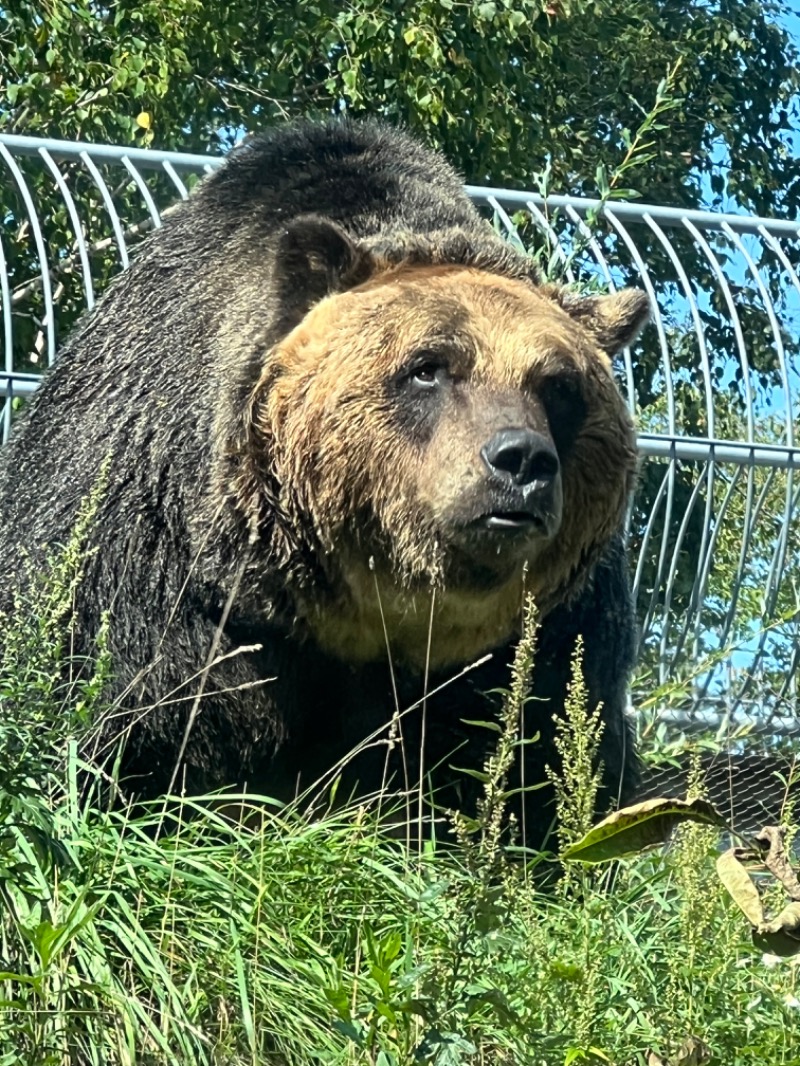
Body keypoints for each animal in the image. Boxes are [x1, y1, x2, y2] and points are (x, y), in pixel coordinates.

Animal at [0, 118, 652, 848]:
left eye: (559, 386)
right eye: (429, 366)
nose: (521, 460)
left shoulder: (551, 633)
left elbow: (544, 759)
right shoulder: (153, 564)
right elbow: (130, 712)